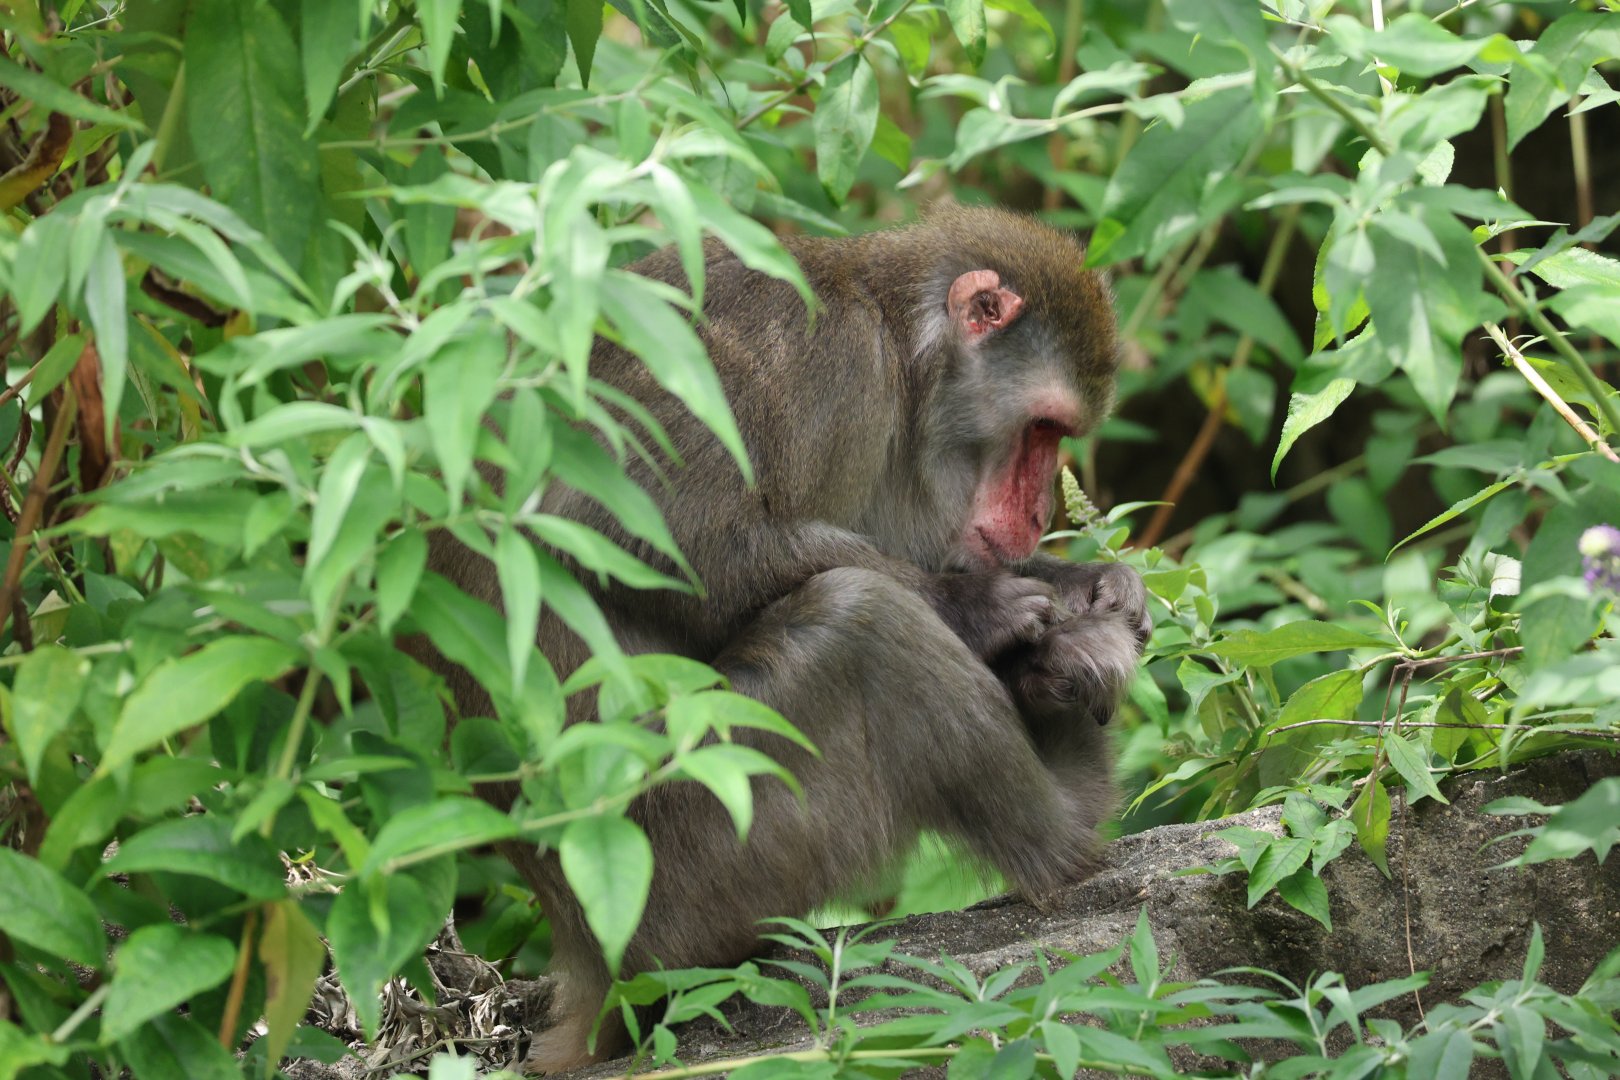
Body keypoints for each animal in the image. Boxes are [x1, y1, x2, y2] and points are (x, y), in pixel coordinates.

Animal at [421, 205, 1150, 1073]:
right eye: (1043, 430)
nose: (1041, 513)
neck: (898, 346)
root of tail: (589, 965)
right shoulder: (829, 363)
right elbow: (633, 526)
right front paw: (982, 608)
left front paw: (1086, 587)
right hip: (697, 860)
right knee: (859, 622)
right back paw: (1067, 827)